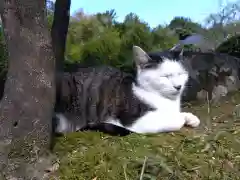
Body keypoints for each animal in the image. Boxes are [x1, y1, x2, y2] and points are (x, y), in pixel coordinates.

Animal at [53, 45, 201, 136]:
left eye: (180, 74)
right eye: (165, 76)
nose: (178, 86)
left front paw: (190, 117)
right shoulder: (136, 121)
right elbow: (173, 120)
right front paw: (181, 118)